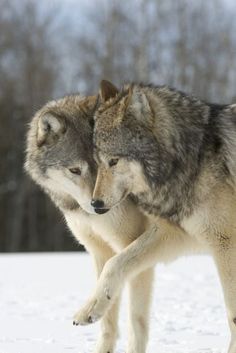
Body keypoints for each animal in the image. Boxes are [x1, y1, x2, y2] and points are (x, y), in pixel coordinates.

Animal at [24, 93, 194, 352]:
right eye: (75, 170)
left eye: (110, 163)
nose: (98, 206)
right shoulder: (100, 252)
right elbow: (108, 321)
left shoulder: (133, 249)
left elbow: (136, 322)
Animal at [89, 80, 236, 352]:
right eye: (98, 162)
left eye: (114, 161)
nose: (95, 204)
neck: (193, 157)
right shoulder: (179, 234)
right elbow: (115, 262)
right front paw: (90, 309)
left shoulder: (225, 243)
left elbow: (232, 315)